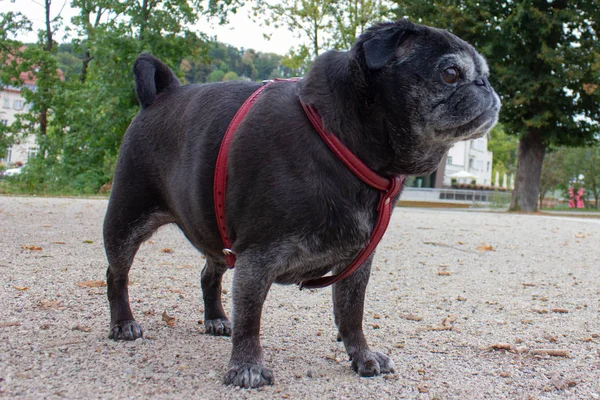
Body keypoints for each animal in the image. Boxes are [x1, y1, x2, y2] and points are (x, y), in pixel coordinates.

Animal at [104, 19, 502, 388]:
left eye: (484, 74)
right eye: (450, 74)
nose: (486, 86)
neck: (338, 141)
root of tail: (162, 94)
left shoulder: (356, 264)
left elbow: (351, 315)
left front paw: (362, 355)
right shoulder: (257, 258)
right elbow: (250, 318)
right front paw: (246, 366)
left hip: (213, 230)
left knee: (209, 273)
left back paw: (215, 317)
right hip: (125, 221)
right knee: (117, 274)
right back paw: (123, 323)